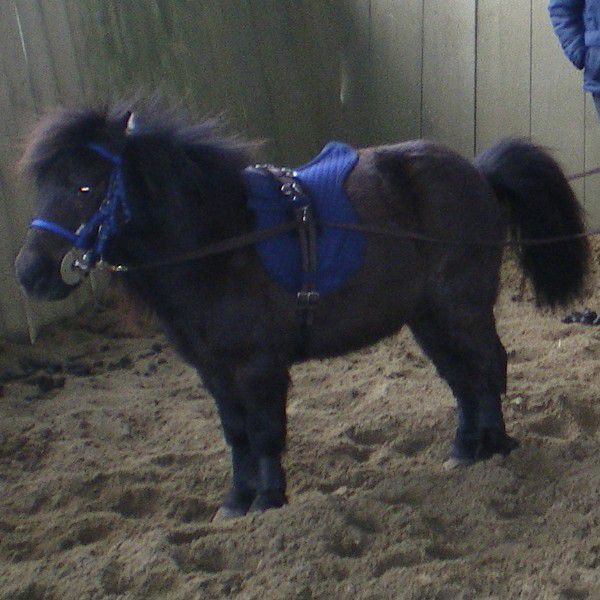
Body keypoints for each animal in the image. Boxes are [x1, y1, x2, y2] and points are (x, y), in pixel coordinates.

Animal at [14, 102, 590, 518]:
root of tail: (477, 171)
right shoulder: (214, 371)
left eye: (86, 184)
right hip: (428, 317)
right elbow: (236, 434)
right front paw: (235, 503)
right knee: (463, 378)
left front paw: (268, 501)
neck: (222, 243)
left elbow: (266, 431)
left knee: (489, 366)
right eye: (42, 186)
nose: (29, 274)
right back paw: (466, 449)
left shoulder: (258, 366)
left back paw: (496, 446)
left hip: (461, 307)